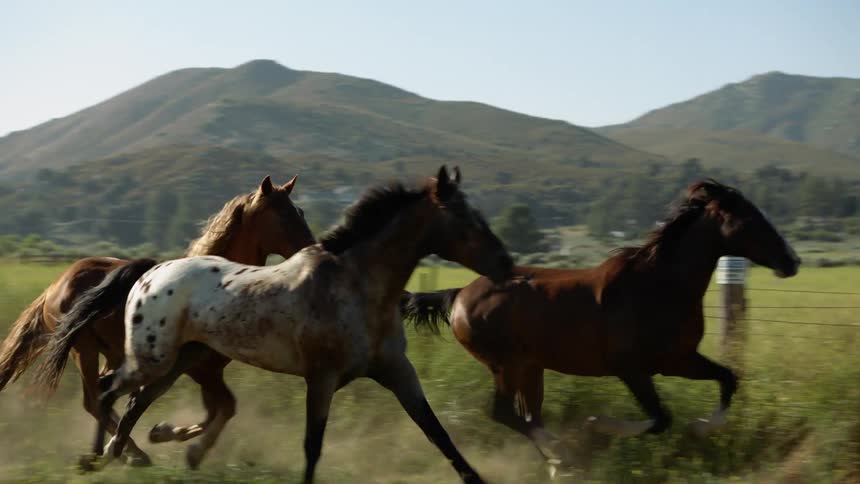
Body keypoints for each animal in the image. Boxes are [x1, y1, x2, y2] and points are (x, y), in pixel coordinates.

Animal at [0, 175, 314, 465]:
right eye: (284, 214)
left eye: (300, 211)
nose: (312, 249)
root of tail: (54, 286)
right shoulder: (199, 369)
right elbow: (221, 408)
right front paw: (176, 442)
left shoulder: (208, 369)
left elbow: (219, 410)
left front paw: (165, 434)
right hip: (84, 349)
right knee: (94, 399)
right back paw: (132, 455)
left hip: (111, 353)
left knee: (103, 394)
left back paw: (125, 452)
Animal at [58, 166, 511, 483]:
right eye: (465, 220)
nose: (506, 264)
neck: (359, 288)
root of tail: (152, 273)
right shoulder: (322, 378)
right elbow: (312, 447)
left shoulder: (398, 373)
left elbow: (438, 433)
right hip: (152, 359)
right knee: (106, 392)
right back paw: (106, 457)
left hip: (177, 362)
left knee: (133, 402)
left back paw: (121, 453)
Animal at [400, 179, 801, 471]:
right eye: (750, 220)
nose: (792, 261)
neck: (659, 285)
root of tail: (460, 295)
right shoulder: (632, 369)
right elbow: (660, 418)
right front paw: (595, 424)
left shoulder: (678, 360)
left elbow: (728, 379)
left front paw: (700, 428)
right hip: (506, 365)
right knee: (504, 413)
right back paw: (563, 452)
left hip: (530, 368)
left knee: (526, 416)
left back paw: (558, 461)